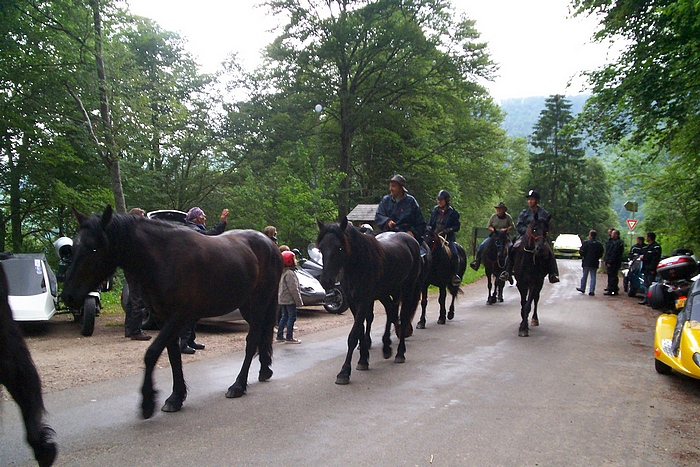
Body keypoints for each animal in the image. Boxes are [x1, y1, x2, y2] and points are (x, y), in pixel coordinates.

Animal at [60, 207, 282, 418]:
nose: (68, 295)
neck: (163, 258)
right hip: (247, 306)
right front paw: (176, 397)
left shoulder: (179, 316)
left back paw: (238, 385)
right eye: (74, 247)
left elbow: (151, 353)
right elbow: (173, 355)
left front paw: (148, 402)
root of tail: (270, 245)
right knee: (260, 336)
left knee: (252, 340)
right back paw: (264, 370)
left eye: (94, 248)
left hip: (259, 302)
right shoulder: (164, 318)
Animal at [316, 218, 422, 386]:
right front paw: (363, 360)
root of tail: (411, 241)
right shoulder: (354, 302)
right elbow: (359, 331)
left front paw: (344, 372)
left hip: (407, 289)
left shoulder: (365, 300)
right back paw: (386, 347)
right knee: (391, 311)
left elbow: (353, 336)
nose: (326, 281)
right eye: (321, 248)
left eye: (340, 247)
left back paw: (399, 353)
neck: (358, 266)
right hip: (385, 292)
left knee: (403, 316)